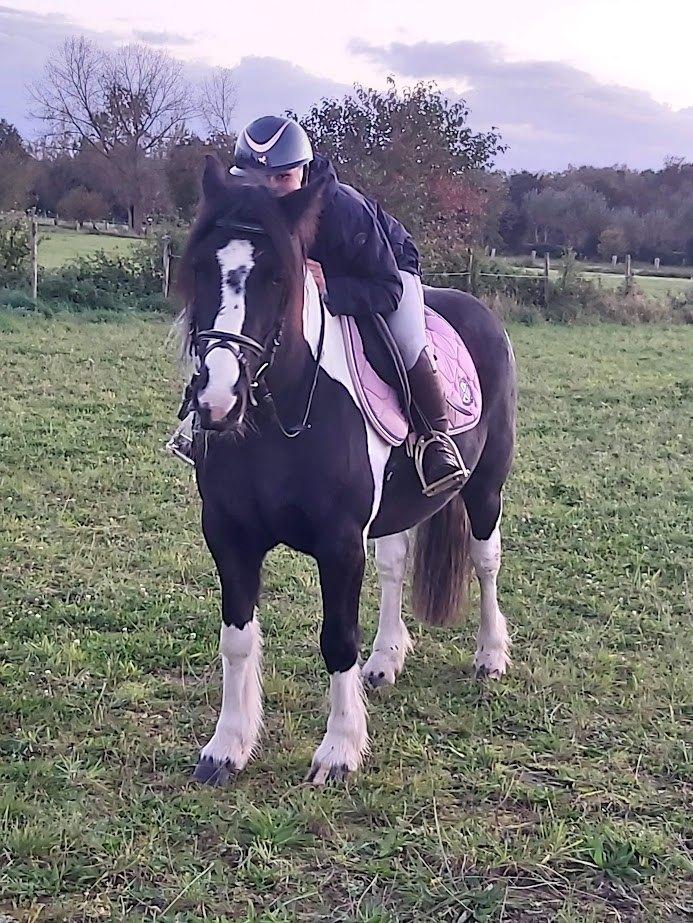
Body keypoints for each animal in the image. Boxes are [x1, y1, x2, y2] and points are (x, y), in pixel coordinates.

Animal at [176, 156, 516, 785]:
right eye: (203, 267)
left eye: (277, 278)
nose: (217, 399)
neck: (282, 417)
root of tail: (478, 308)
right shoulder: (229, 537)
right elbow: (236, 639)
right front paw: (227, 747)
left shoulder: (338, 546)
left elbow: (337, 641)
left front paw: (339, 750)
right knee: (394, 566)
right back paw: (385, 661)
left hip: (486, 488)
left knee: (486, 562)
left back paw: (490, 655)